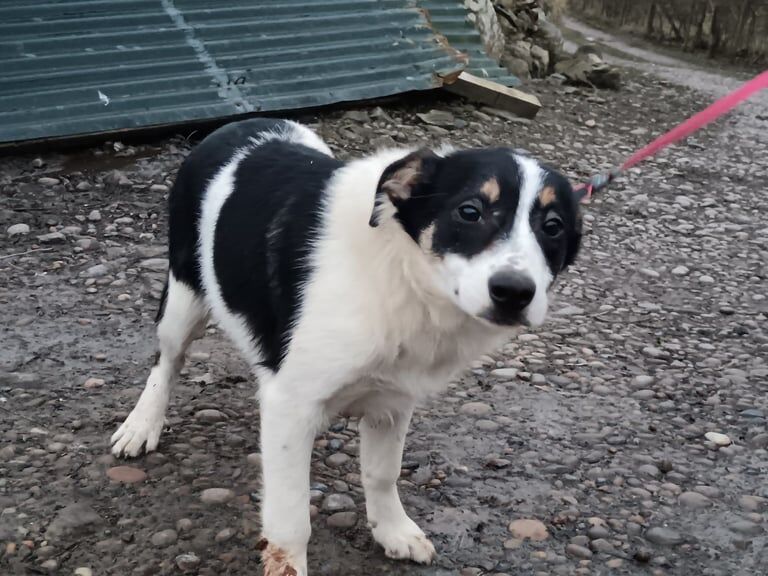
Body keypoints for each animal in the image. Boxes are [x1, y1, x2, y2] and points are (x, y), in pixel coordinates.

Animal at [111, 119, 584, 572]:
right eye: (470, 211)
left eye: (553, 227)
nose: (514, 292)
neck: (404, 276)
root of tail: (230, 128)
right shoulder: (292, 403)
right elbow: (290, 517)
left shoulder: (393, 400)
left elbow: (382, 473)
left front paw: (393, 530)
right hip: (183, 296)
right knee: (167, 360)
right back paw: (142, 424)